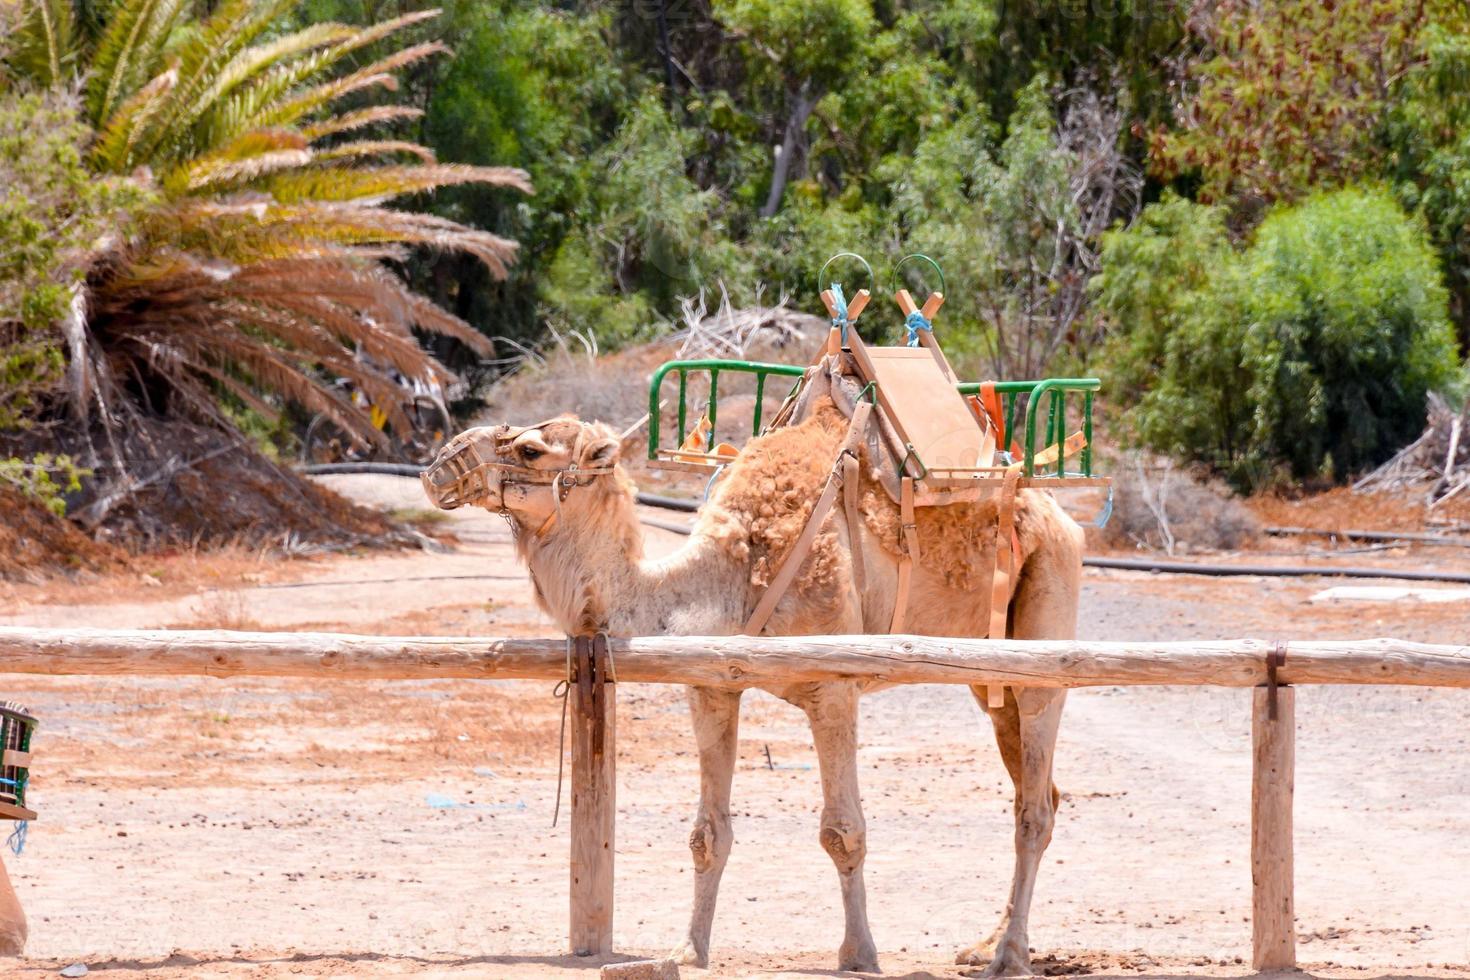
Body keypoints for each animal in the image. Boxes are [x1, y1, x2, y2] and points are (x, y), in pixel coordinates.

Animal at [420, 387, 1087, 975]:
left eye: (531, 449)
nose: (438, 467)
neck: (731, 576)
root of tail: (1063, 518)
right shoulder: (712, 686)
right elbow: (707, 834)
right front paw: (688, 951)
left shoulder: (832, 686)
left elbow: (842, 832)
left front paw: (859, 955)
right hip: (988, 675)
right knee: (1042, 792)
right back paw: (987, 943)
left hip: (1046, 617)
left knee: (1034, 804)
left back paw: (1007, 957)